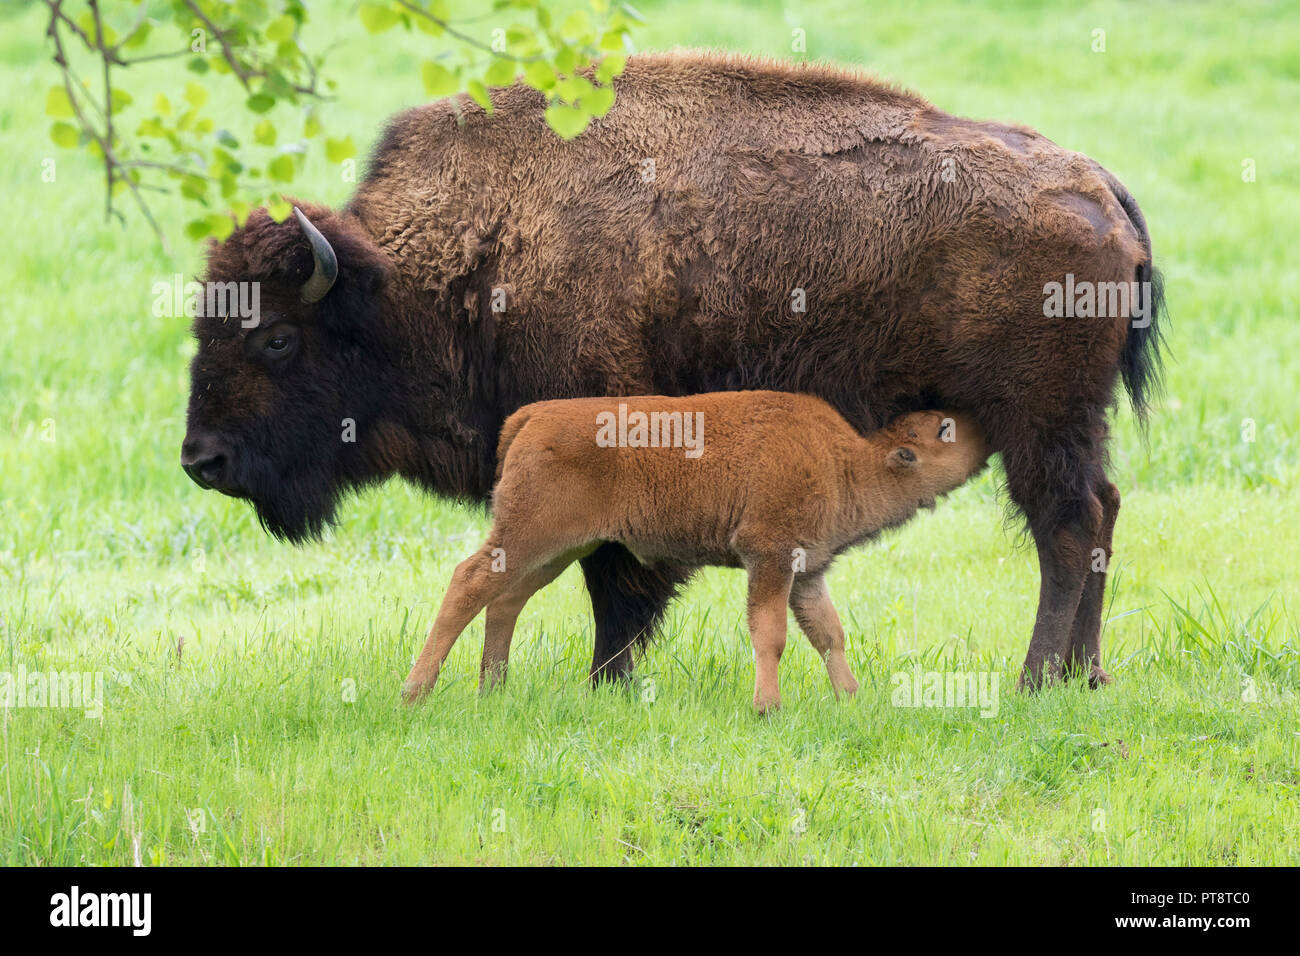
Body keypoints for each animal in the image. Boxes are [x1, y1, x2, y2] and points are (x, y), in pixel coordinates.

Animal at [400, 390, 987, 712]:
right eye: (942, 429)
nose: (978, 423)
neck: (846, 460)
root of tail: (531, 417)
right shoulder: (768, 557)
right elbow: (771, 634)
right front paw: (768, 708)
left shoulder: (807, 572)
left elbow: (829, 635)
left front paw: (851, 699)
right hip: (528, 536)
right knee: (468, 583)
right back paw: (416, 691)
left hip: (556, 550)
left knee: (505, 599)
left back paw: (493, 689)